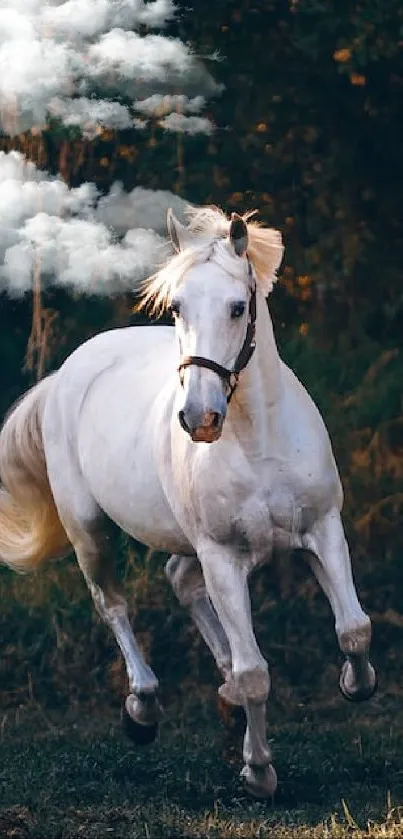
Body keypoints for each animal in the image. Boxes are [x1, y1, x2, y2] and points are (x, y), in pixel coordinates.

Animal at [1, 207, 378, 796]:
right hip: (89, 529)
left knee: (179, 581)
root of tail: (68, 372)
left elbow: (354, 630)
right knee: (114, 605)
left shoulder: (323, 530)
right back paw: (143, 709)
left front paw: (352, 684)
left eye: (238, 306)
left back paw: (223, 702)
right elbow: (255, 672)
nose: (199, 418)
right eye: (177, 306)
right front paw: (258, 771)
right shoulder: (222, 556)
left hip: (185, 542)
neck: (257, 439)